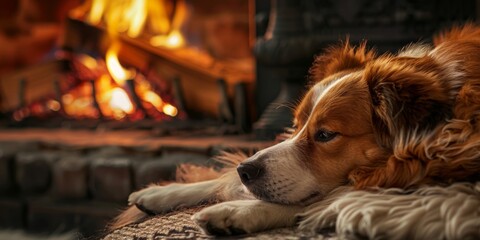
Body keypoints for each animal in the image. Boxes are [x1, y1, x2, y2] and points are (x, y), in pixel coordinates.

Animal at [110, 23, 480, 237]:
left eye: (326, 135)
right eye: (297, 126)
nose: (247, 171)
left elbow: (330, 196)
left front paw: (235, 212)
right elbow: (224, 177)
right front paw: (162, 193)